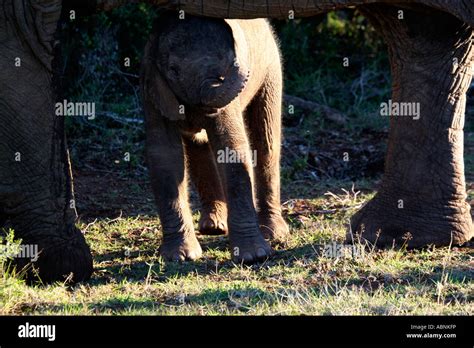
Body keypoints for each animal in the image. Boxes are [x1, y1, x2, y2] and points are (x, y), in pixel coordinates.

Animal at [140, 13, 288, 264]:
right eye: (173, 70)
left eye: (226, 63)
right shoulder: (152, 89)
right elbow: (165, 155)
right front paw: (180, 257)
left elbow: (231, 148)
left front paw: (252, 256)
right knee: (199, 145)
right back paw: (214, 227)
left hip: (271, 65)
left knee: (266, 140)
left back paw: (273, 233)